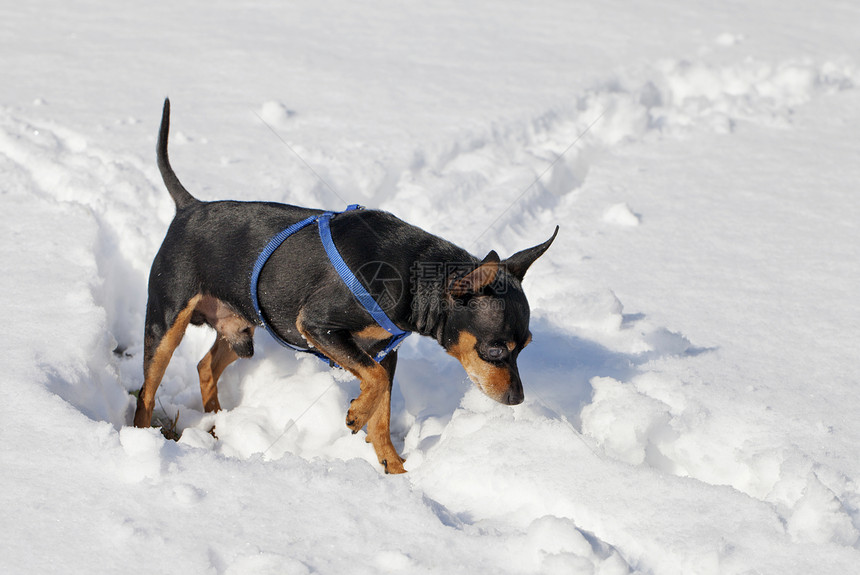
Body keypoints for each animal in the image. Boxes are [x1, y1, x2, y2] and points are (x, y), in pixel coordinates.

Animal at [131, 99, 556, 474]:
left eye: (526, 347)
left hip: (240, 330)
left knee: (205, 365)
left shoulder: (384, 351)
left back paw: (218, 423)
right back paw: (138, 437)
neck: (412, 274)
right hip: (166, 323)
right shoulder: (319, 327)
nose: (517, 399)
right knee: (147, 390)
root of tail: (189, 206)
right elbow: (376, 382)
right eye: (495, 350)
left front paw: (394, 468)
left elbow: (382, 407)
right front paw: (355, 416)